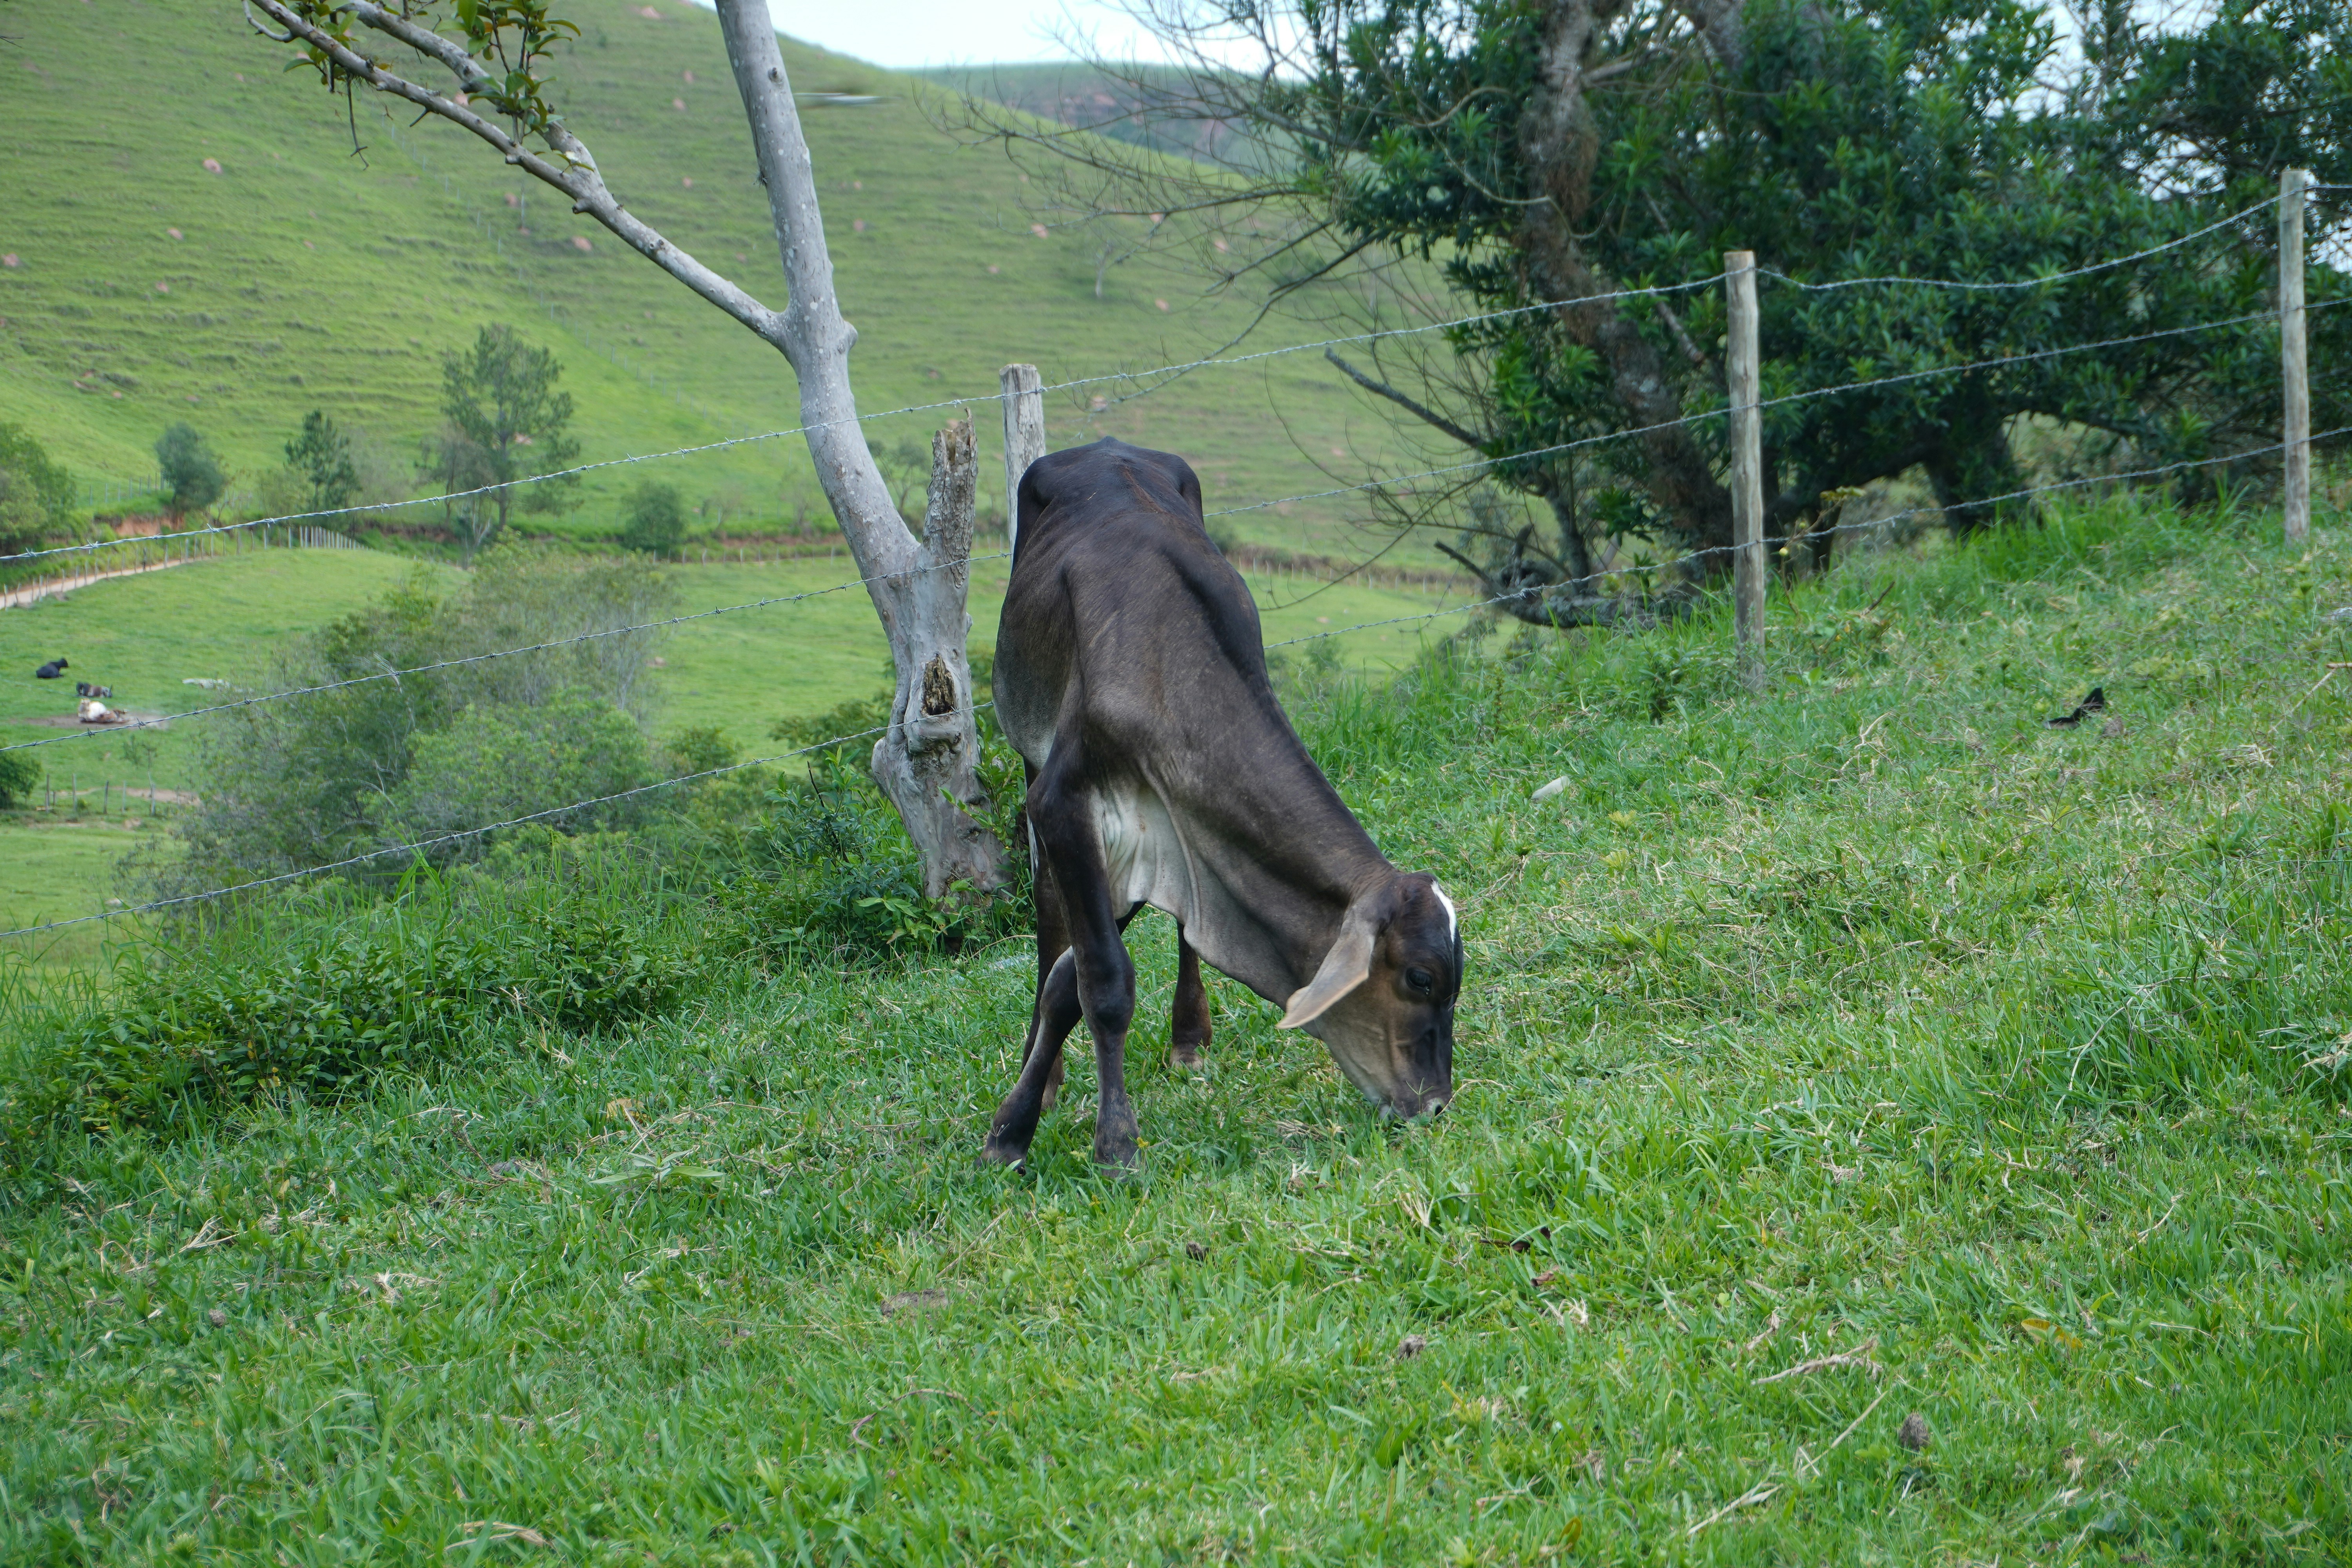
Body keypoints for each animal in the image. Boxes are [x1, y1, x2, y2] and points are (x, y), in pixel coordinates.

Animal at [983, 438, 1463, 1168]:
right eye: (1420, 978)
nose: (1435, 1104)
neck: (1166, 668)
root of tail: (1105, 445)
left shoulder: (1168, 834)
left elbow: (1081, 978)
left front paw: (1024, 1124)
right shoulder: (1065, 807)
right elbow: (1098, 980)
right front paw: (1087, 1138)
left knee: (1182, 931)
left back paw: (1189, 1038)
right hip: (1031, 751)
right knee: (1048, 906)